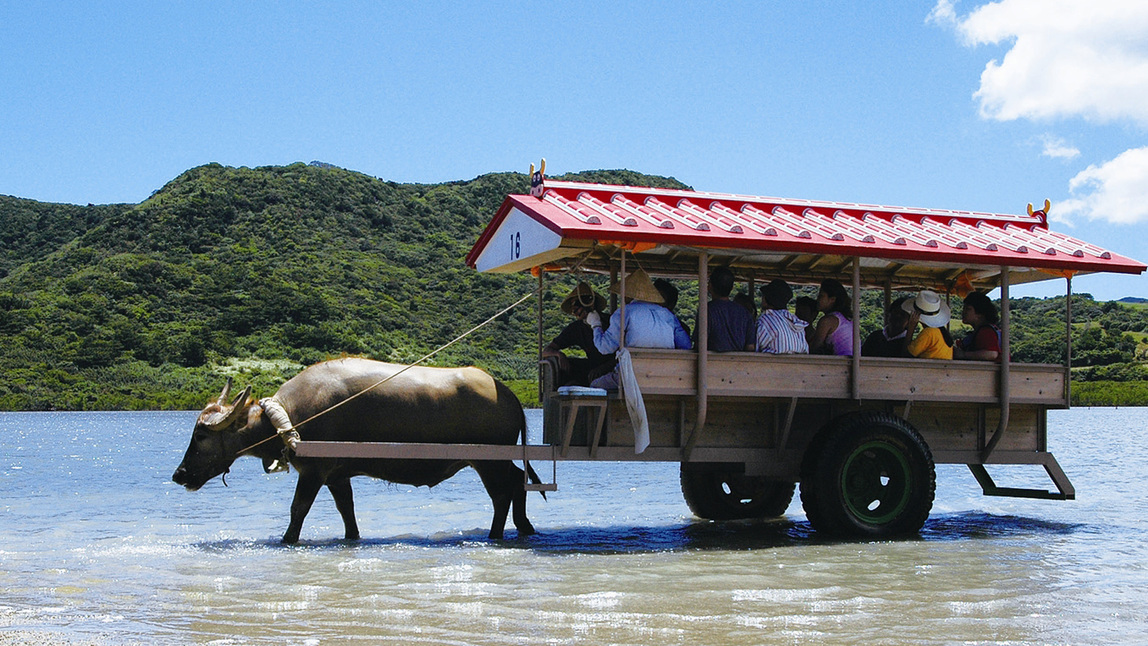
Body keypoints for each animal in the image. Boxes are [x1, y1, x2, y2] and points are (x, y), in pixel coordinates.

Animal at [172, 357, 539, 546]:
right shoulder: (337, 475)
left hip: (488, 462)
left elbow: (298, 509)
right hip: (497, 461)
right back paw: (524, 526)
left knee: (502, 494)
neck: (291, 416)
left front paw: (287, 539)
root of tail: (510, 397)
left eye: (200, 435)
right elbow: (346, 511)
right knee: (518, 481)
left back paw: (496, 535)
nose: (179, 475)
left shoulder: (315, 471)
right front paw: (352, 537)